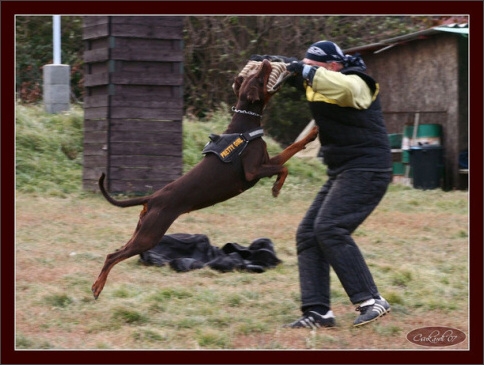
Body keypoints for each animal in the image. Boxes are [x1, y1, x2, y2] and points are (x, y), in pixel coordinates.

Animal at [91, 60, 320, 298]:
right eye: (259, 77)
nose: (266, 61)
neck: (245, 125)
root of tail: (151, 198)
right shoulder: (252, 172)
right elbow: (283, 168)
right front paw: (276, 188)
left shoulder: (266, 161)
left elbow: (291, 151)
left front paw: (312, 133)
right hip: (150, 234)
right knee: (113, 256)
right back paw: (97, 287)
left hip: (142, 229)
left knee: (116, 251)